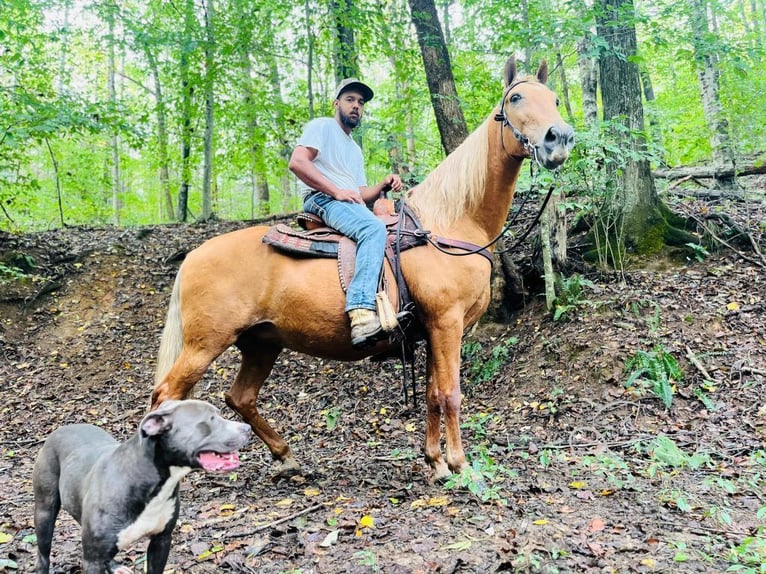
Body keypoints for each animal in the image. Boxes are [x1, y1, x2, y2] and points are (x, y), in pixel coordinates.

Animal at [32, 400, 252, 574]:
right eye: (211, 419)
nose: (248, 427)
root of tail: (62, 428)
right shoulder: (92, 560)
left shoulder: (161, 541)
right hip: (45, 511)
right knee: (43, 554)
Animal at [150, 57, 572, 482]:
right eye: (516, 98)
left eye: (554, 98)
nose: (560, 138)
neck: (449, 223)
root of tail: (193, 256)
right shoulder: (447, 323)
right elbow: (450, 393)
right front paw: (459, 465)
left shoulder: (434, 330)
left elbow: (433, 395)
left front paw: (435, 462)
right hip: (204, 344)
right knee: (166, 396)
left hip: (261, 343)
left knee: (240, 397)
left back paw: (286, 457)